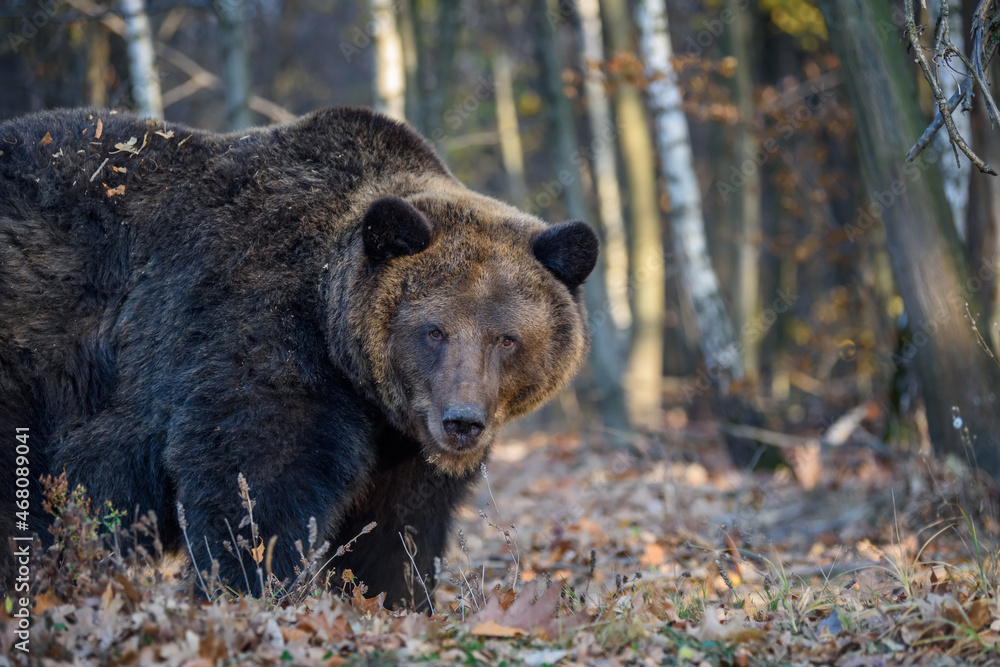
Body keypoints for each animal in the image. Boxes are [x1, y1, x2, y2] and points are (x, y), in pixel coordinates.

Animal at [0, 106, 598, 606]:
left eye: (507, 338)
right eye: (435, 331)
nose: (463, 422)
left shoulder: (403, 444)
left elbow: (399, 530)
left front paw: (394, 598)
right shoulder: (256, 332)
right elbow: (255, 485)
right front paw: (251, 589)